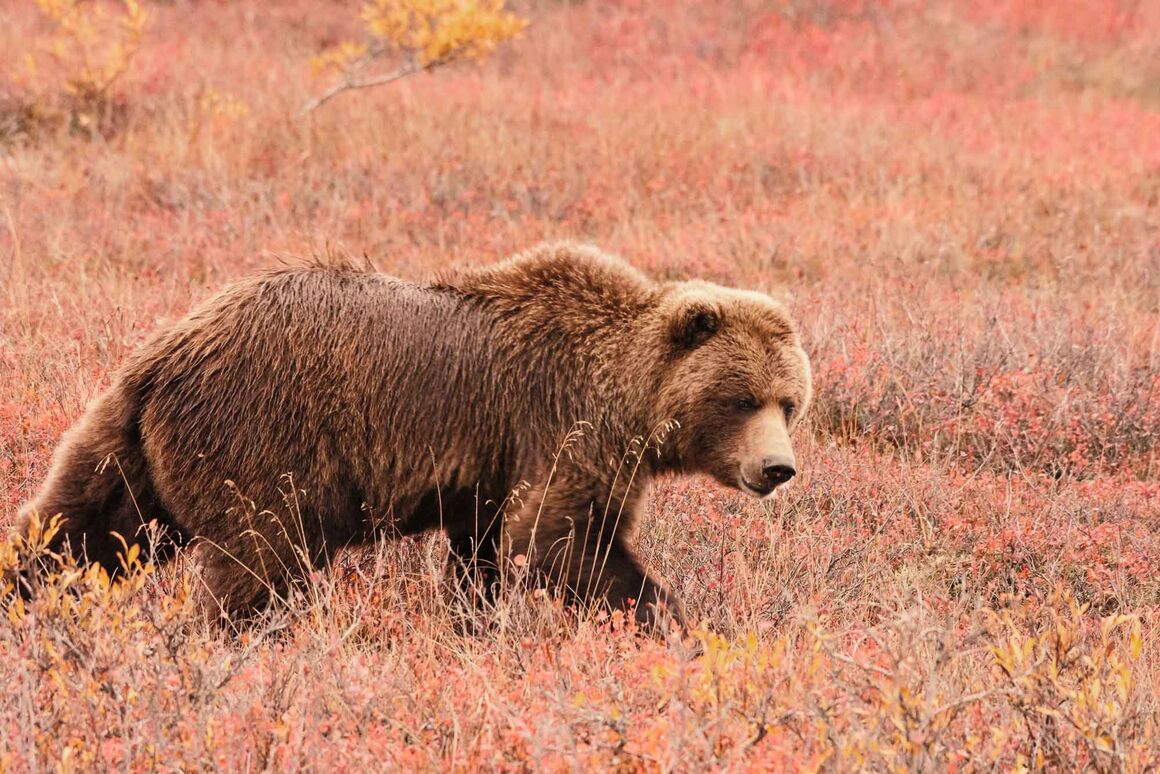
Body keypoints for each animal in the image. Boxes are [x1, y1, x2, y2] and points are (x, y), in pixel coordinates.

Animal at [20, 244, 816, 631]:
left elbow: (483, 554)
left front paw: (472, 623)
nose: (778, 468)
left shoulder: (488, 474)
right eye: (741, 398)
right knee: (255, 561)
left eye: (790, 401)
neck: (631, 397)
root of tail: (169, 350)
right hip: (259, 437)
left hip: (130, 444)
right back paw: (226, 641)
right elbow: (561, 540)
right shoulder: (564, 427)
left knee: (76, 528)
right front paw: (672, 622)